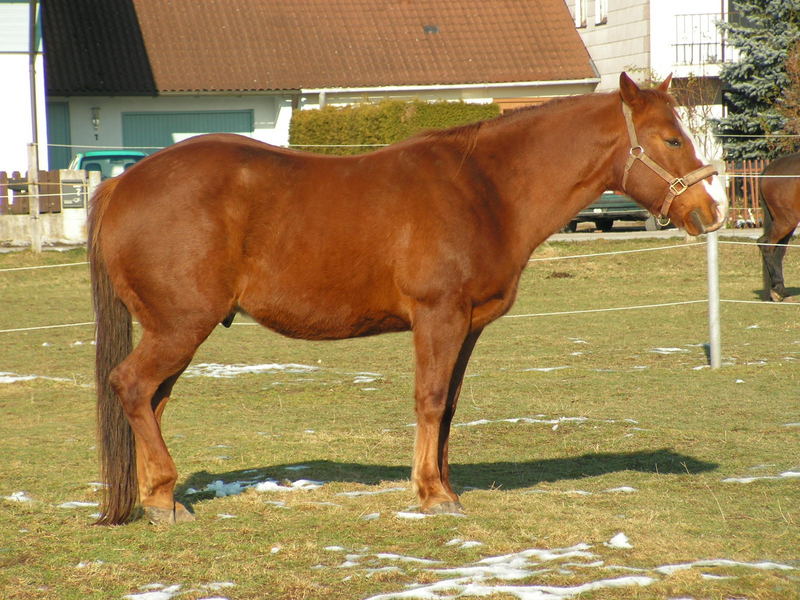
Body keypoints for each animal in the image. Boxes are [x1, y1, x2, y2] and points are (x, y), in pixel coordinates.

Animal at [90, 74, 728, 524]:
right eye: (672, 138)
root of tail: (124, 181)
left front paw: (443, 485)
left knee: (152, 400)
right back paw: (164, 499)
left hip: (175, 329)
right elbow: (429, 400)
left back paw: (158, 498)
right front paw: (430, 495)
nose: (710, 212)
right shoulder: (437, 317)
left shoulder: (468, 325)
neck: (484, 189)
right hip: (181, 326)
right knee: (133, 387)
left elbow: (449, 406)